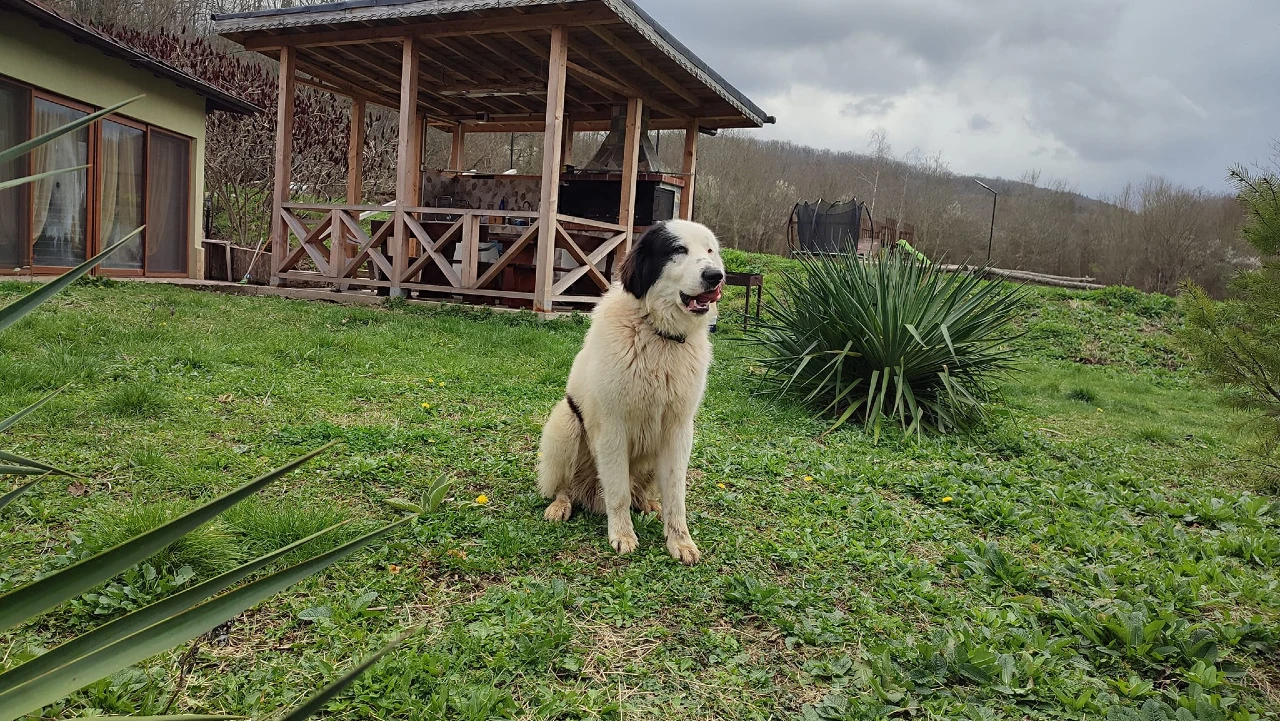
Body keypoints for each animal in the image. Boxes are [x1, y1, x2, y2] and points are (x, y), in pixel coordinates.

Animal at [535, 220, 727, 563]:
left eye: (710, 251)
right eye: (678, 249)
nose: (714, 276)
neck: (659, 334)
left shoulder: (678, 429)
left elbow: (676, 493)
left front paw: (680, 541)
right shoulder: (613, 427)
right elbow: (618, 491)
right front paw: (622, 534)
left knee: (641, 491)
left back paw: (648, 504)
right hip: (565, 422)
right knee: (565, 485)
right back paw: (561, 504)